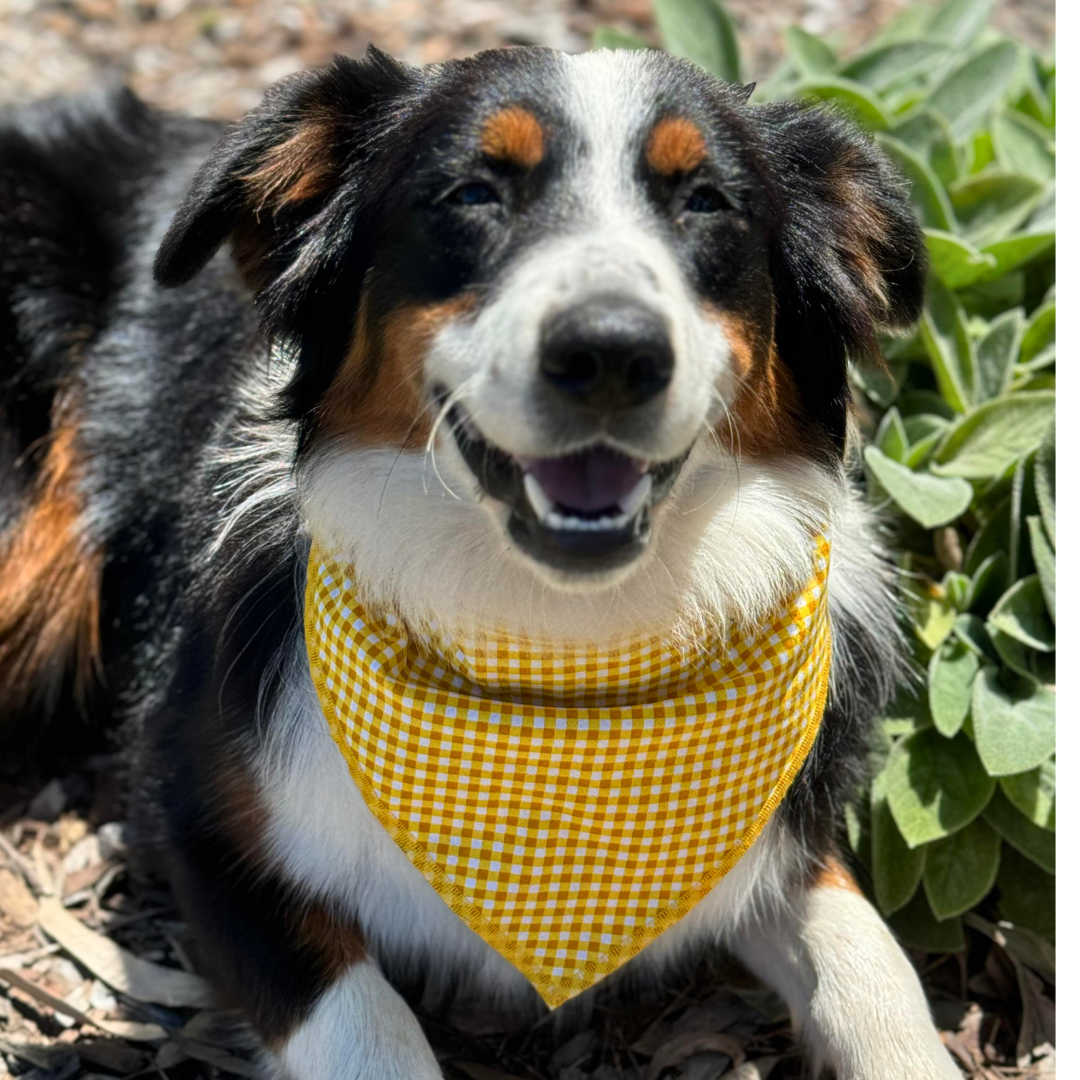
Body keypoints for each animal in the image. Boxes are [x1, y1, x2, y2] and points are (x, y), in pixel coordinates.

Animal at [2, 44, 963, 1080]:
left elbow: (874, 968)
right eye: (471, 192)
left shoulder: (783, 834)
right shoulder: (198, 821)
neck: (560, 651)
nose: (611, 353)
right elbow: (367, 1026)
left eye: (707, 202)